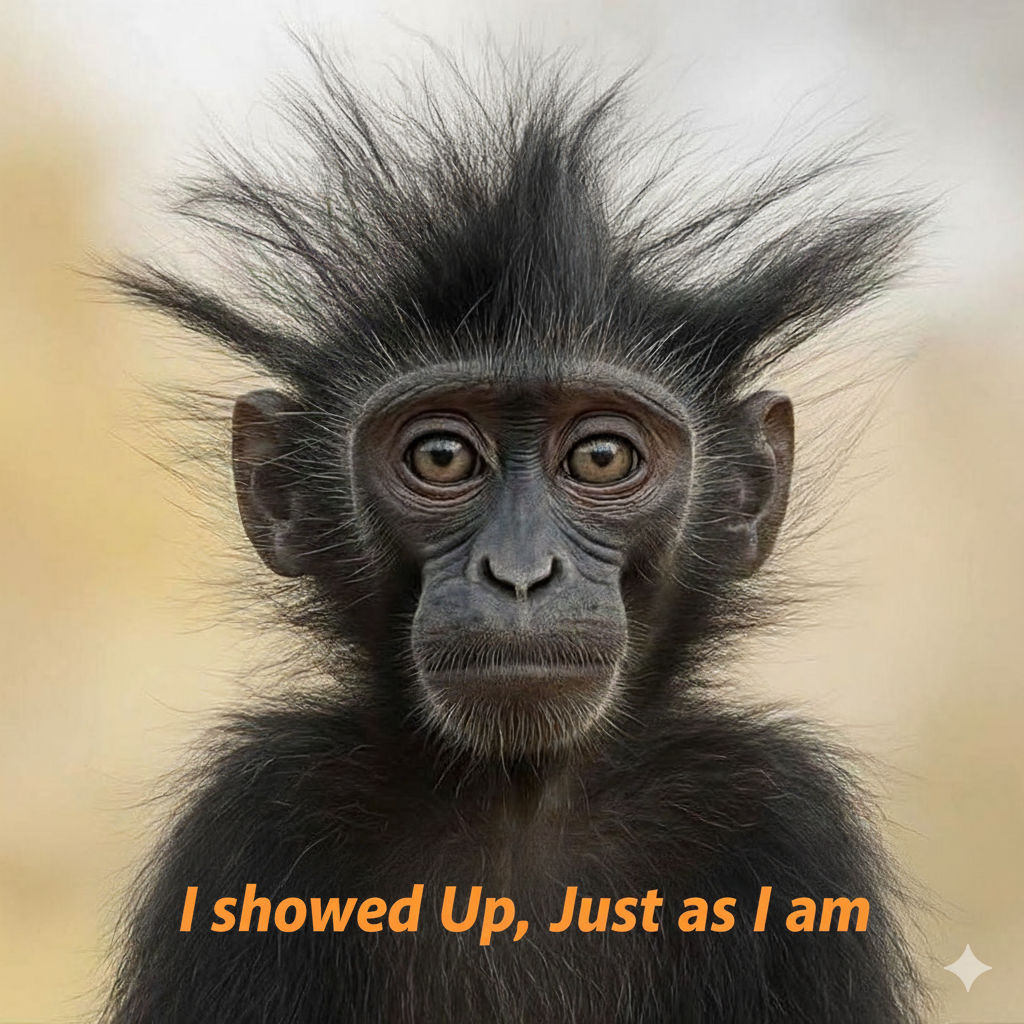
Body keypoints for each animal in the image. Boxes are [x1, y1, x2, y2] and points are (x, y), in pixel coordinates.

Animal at [101, 45, 925, 1024]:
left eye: (602, 457)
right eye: (443, 456)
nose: (522, 572)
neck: (522, 805)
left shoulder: (784, 817)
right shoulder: (251, 814)